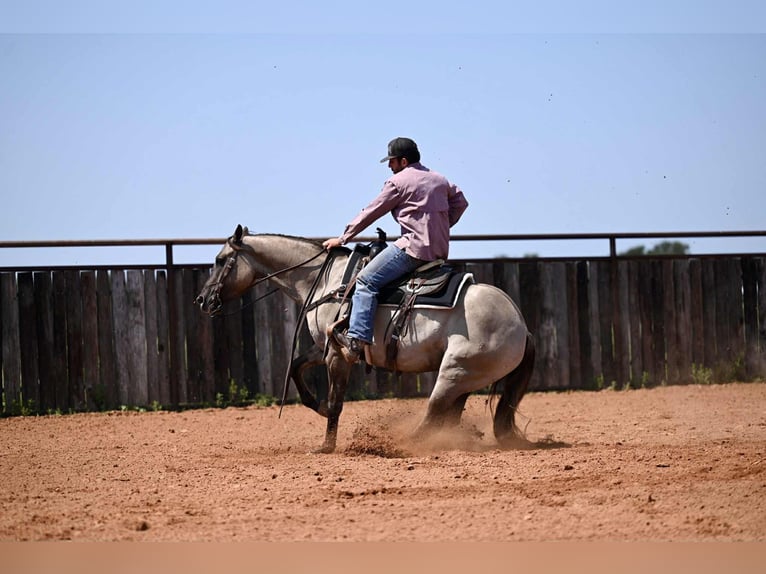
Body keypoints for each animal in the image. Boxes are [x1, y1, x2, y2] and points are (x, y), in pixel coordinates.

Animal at [195, 225, 535, 453]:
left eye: (220, 259)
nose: (201, 300)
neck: (325, 280)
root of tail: (522, 325)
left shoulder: (338, 353)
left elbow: (336, 401)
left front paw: (326, 445)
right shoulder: (325, 347)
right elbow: (296, 367)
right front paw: (316, 406)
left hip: (454, 371)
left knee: (433, 413)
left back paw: (400, 443)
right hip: (462, 378)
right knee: (447, 416)